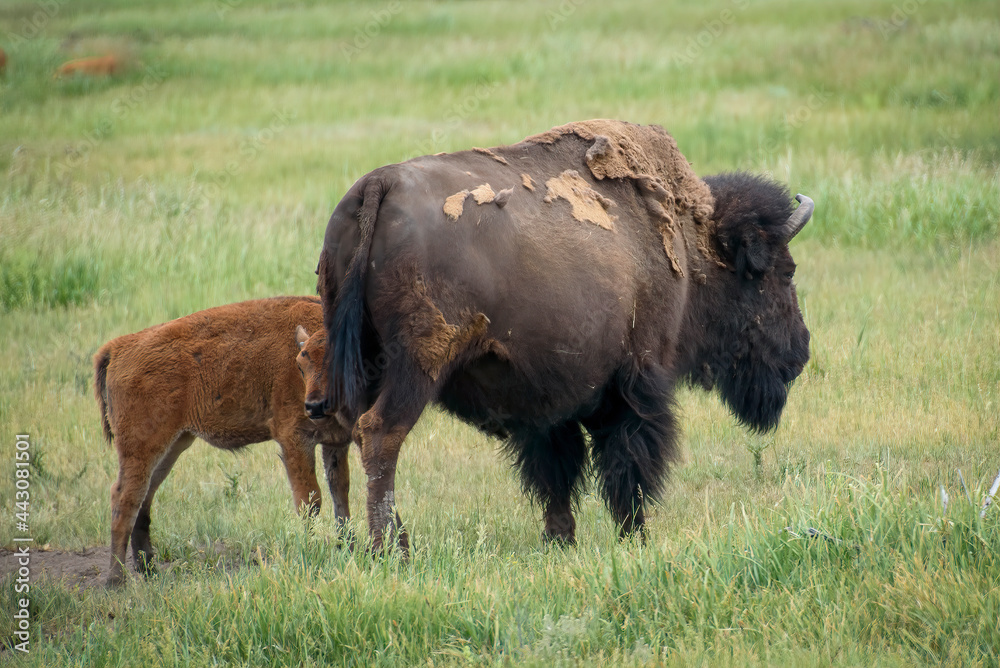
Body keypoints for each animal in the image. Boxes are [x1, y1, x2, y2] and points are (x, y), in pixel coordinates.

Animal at [94, 298, 352, 584]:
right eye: (300, 366)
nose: (315, 406)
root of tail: (118, 347)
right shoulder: (294, 438)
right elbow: (310, 500)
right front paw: (312, 552)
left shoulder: (336, 442)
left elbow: (341, 493)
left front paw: (348, 549)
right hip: (142, 446)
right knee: (125, 497)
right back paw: (116, 580)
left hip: (172, 444)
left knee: (145, 494)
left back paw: (148, 568)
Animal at [318, 121, 812, 552]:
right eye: (783, 273)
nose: (801, 353)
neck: (690, 250)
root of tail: (377, 185)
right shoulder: (637, 380)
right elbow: (628, 464)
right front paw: (635, 538)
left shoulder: (545, 399)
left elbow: (556, 471)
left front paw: (560, 540)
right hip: (418, 364)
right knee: (381, 434)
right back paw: (394, 549)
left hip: (357, 359)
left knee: (350, 435)